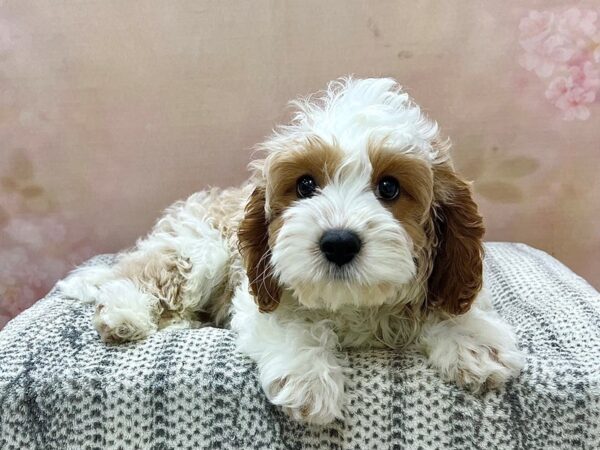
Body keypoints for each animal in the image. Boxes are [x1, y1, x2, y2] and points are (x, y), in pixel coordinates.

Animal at [58, 77, 524, 426]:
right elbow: (291, 324)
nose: (338, 242)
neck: (353, 306)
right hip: (200, 247)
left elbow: (456, 305)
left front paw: (472, 341)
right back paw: (125, 314)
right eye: (305, 185)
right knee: (141, 273)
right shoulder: (256, 291)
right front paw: (309, 379)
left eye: (390, 187)